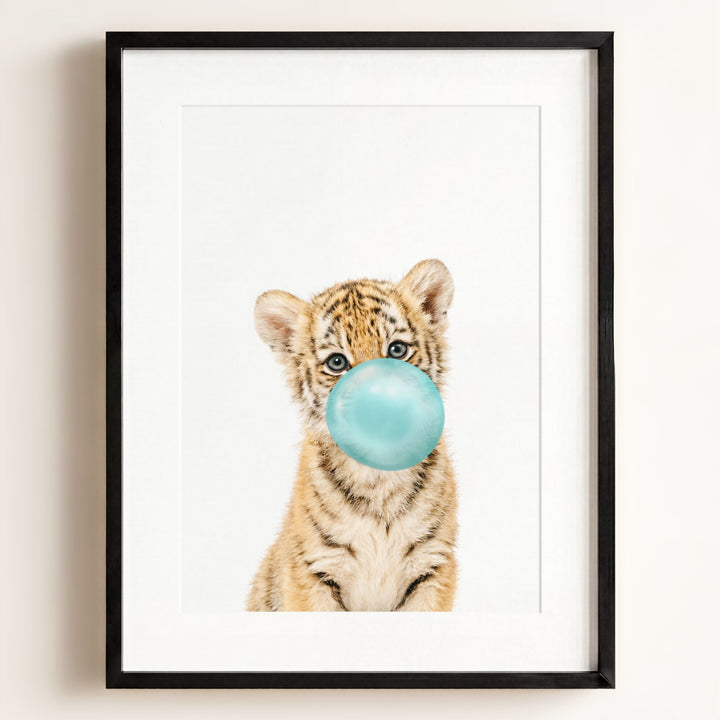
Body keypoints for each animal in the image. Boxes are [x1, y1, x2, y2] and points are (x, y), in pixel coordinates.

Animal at [247, 259, 457, 611]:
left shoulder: (433, 565)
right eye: (337, 362)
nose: (379, 404)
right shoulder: (313, 570)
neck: (380, 478)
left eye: (397, 350)